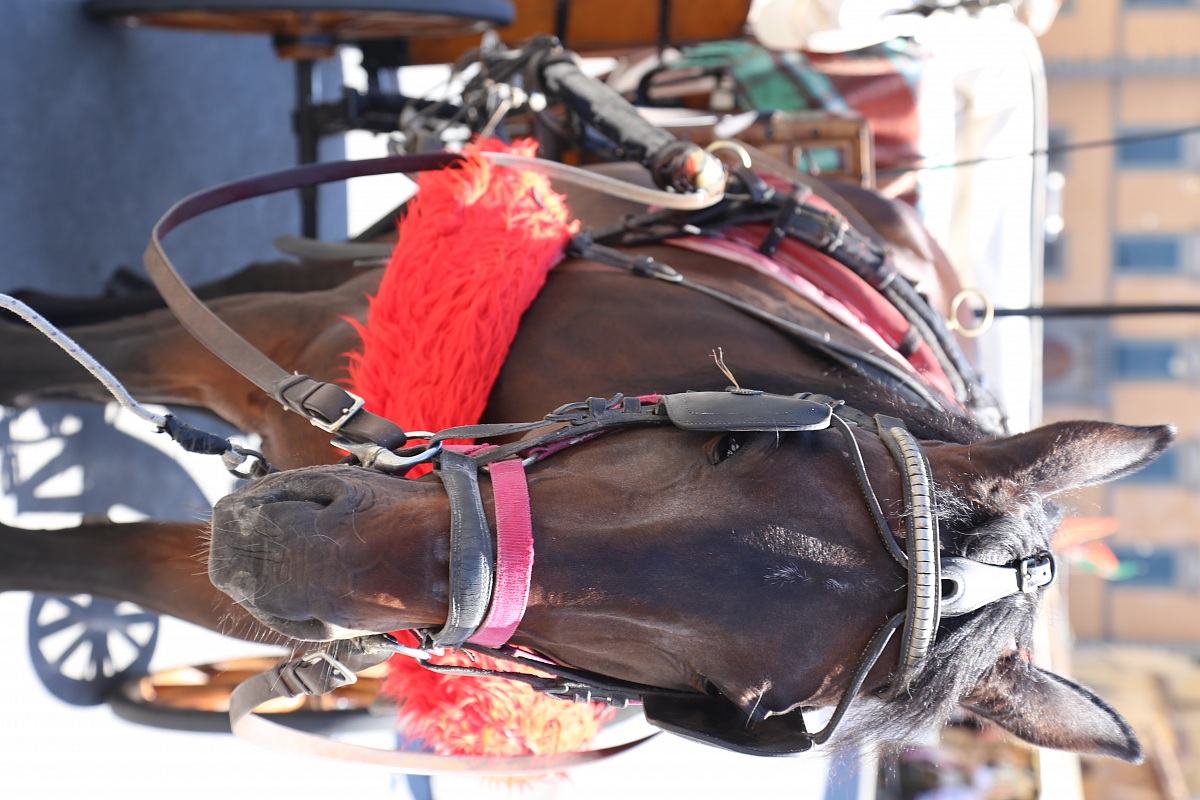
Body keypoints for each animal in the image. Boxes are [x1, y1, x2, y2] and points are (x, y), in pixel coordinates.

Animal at [0, 145, 1166, 764]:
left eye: (723, 695)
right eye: (729, 442)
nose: (298, 561)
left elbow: (88, 562)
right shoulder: (296, 336)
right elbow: (70, 356)